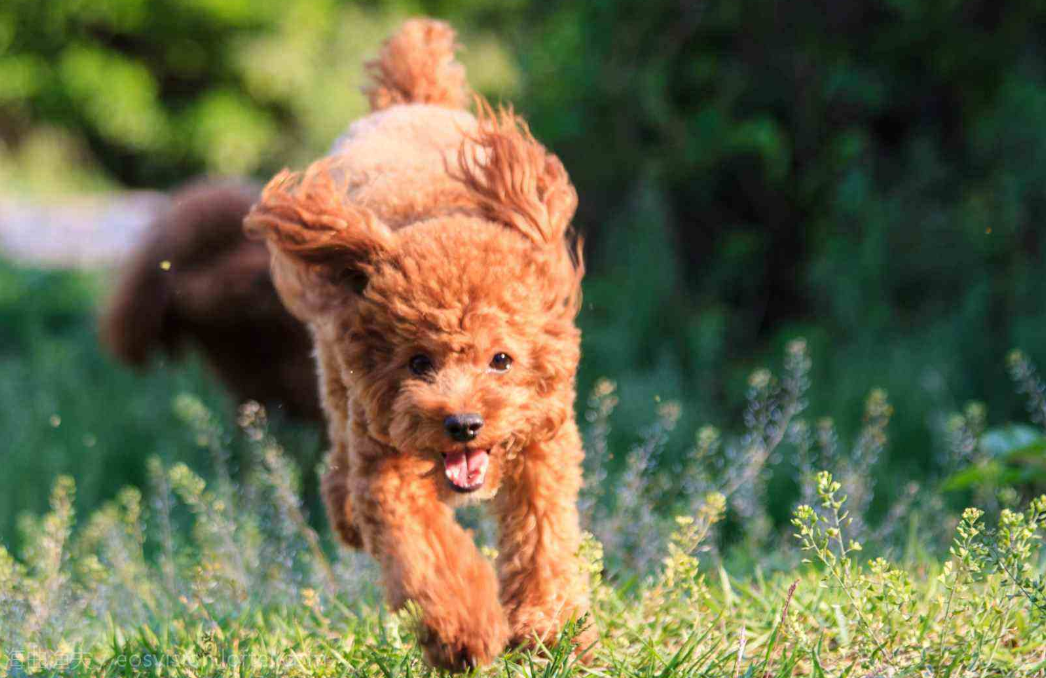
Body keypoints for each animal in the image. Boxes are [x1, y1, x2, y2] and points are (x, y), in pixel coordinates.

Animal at [241, 18, 594, 669]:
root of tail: (408, 103)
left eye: (501, 360)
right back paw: (347, 515)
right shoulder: (388, 466)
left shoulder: (545, 446)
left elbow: (543, 535)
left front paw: (547, 626)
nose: (463, 424)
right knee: (340, 464)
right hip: (337, 376)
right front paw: (463, 635)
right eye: (417, 362)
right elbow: (425, 552)